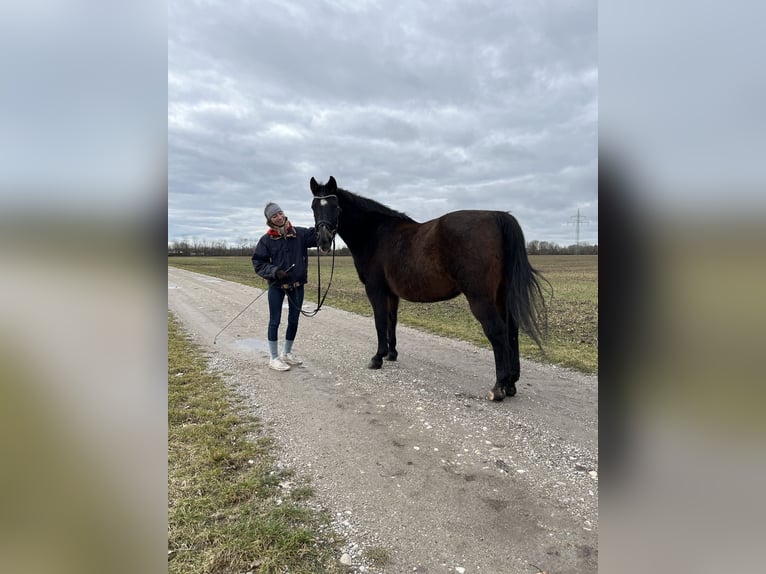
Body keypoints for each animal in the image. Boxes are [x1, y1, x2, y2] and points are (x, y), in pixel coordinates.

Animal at [308, 178, 548, 402]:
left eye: (335, 206)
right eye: (314, 206)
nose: (323, 240)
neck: (376, 234)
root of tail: (497, 217)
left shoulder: (375, 290)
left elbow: (380, 322)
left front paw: (377, 357)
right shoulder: (392, 293)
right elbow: (392, 321)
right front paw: (391, 354)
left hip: (481, 298)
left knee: (497, 331)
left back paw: (499, 387)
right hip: (501, 295)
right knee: (512, 330)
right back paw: (511, 384)